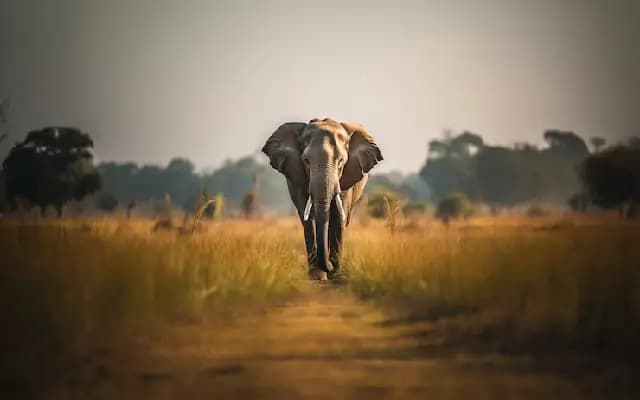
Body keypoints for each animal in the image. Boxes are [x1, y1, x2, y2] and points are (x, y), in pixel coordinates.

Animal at [262, 118, 383, 280]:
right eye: (306, 161)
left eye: (341, 161)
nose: (330, 265)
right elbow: (307, 218)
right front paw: (317, 276)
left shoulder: (346, 177)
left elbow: (338, 217)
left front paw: (336, 275)